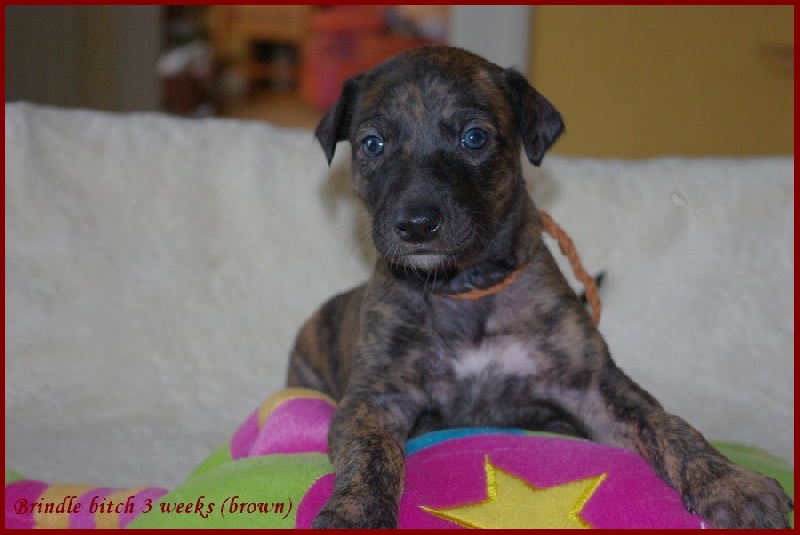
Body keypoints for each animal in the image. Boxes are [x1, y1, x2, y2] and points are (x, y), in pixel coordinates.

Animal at [286, 46, 792, 528]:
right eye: (372, 144)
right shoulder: (375, 399)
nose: (416, 225)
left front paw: (731, 484)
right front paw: (356, 510)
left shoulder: (594, 386)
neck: (466, 288)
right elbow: (371, 452)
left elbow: (669, 424)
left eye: (474, 137)